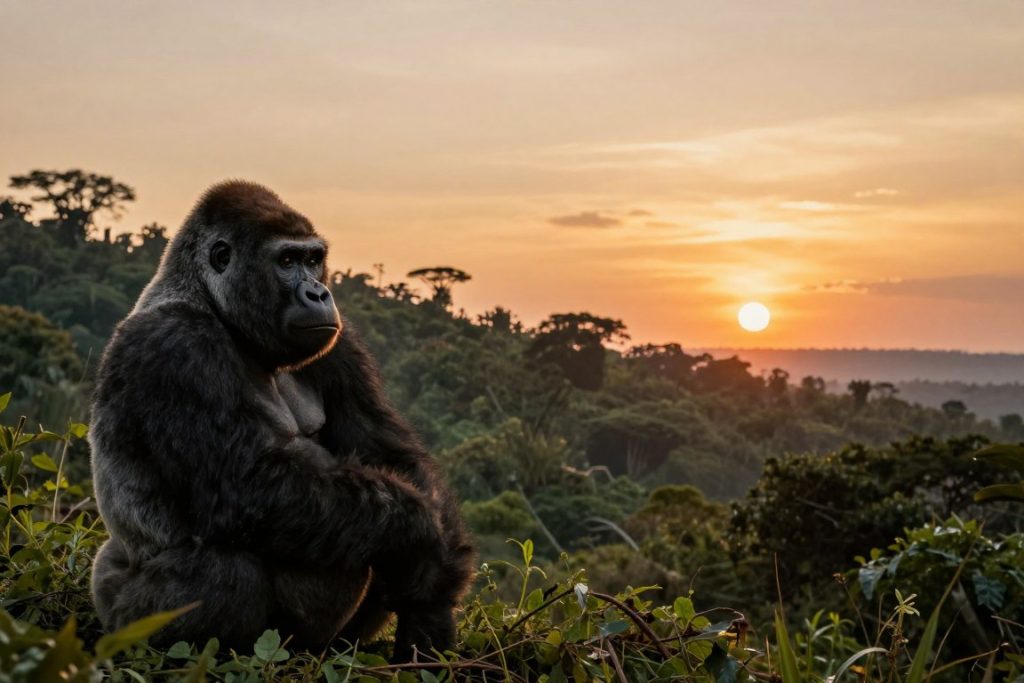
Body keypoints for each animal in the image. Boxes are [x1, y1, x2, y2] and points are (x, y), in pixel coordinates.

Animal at [88, 181, 474, 660]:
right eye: (287, 262)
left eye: (313, 260)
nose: (319, 293)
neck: (210, 300)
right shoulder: (176, 344)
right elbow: (247, 487)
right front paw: (417, 529)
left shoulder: (340, 342)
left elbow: (390, 454)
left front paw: (434, 603)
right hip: (122, 621)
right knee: (225, 572)